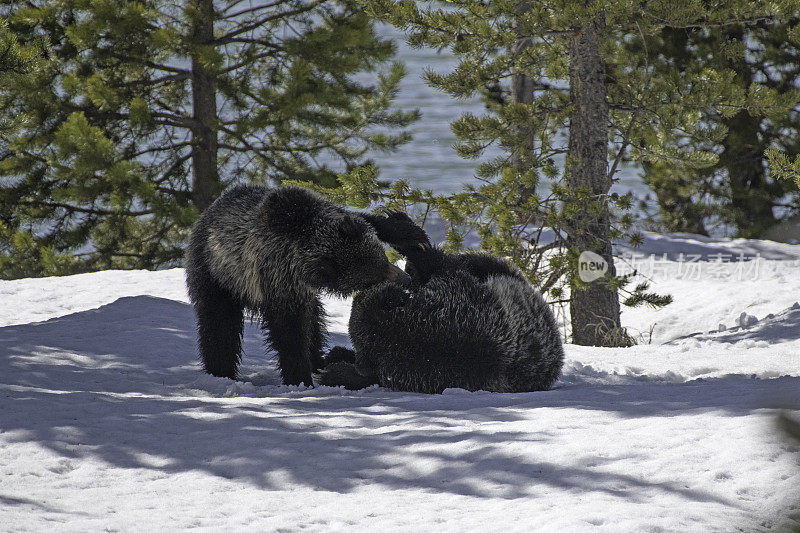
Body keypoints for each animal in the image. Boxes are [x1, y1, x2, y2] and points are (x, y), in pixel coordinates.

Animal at [185, 185, 410, 384]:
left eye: (382, 258)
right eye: (372, 275)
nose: (406, 279)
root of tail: (207, 213)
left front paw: (401, 228)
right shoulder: (278, 279)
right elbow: (289, 333)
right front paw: (300, 377)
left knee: (315, 322)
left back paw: (319, 360)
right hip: (217, 275)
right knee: (218, 323)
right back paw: (220, 370)